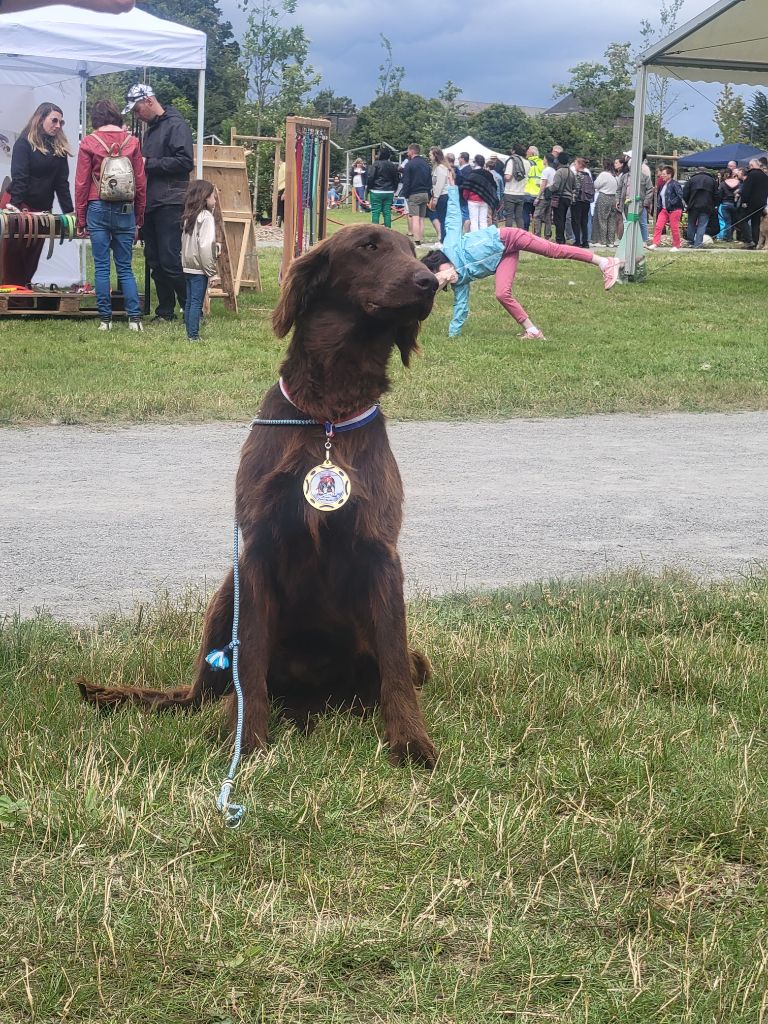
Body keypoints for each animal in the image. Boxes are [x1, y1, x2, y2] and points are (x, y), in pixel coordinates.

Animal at [78, 226, 442, 770]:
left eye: (411, 249)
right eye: (369, 246)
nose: (431, 281)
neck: (328, 414)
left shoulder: (382, 553)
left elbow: (396, 664)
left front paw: (410, 742)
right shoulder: (257, 550)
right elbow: (248, 665)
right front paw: (245, 741)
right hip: (226, 588)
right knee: (195, 694)